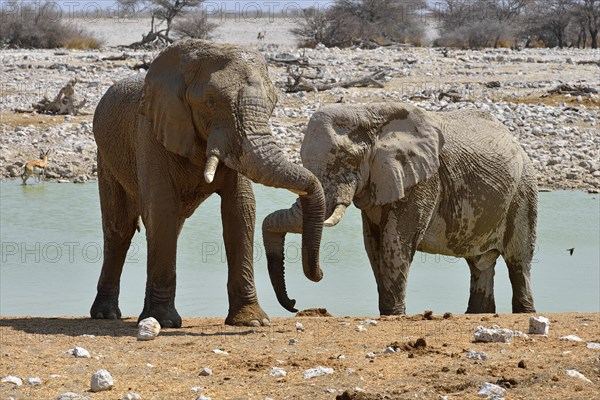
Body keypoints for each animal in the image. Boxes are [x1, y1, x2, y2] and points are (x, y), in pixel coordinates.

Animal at [90, 39, 324, 328]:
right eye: (211, 102)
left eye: (273, 104)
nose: (294, 303)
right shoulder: (151, 131)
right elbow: (160, 207)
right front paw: (165, 322)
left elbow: (240, 208)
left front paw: (252, 321)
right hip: (106, 158)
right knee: (120, 229)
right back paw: (106, 314)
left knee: (169, 227)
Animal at [264, 102, 536, 316]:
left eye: (346, 160)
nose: (294, 303)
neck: (367, 112)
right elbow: (373, 245)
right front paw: (388, 312)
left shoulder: (424, 179)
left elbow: (395, 241)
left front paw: (394, 314)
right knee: (480, 264)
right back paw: (478, 313)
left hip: (523, 192)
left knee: (518, 262)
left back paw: (524, 311)